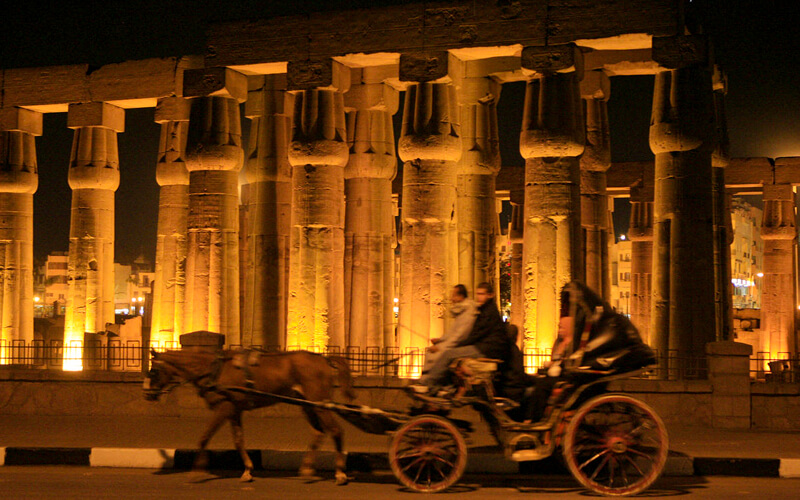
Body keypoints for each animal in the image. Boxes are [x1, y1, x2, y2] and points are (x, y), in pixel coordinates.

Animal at [143, 348, 354, 484]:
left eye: (153, 370)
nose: (147, 394)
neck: (212, 369)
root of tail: (324, 360)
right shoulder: (235, 410)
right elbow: (238, 441)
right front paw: (247, 470)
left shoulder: (225, 407)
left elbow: (205, 437)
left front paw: (197, 471)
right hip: (307, 405)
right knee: (319, 431)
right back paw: (308, 469)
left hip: (319, 404)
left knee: (336, 430)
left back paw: (340, 473)